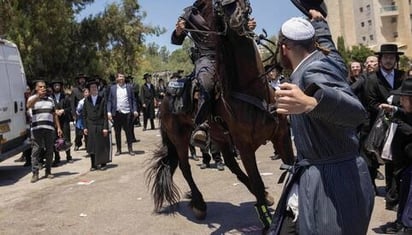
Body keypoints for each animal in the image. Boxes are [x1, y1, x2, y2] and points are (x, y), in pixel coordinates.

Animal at [145, 0, 292, 231]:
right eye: (220, 6)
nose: (238, 20)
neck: (253, 89)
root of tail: (166, 97)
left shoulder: (282, 136)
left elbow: (292, 167)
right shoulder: (245, 146)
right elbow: (257, 180)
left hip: (220, 137)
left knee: (231, 164)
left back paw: (265, 196)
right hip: (180, 138)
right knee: (185, 168)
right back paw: (199, 204)